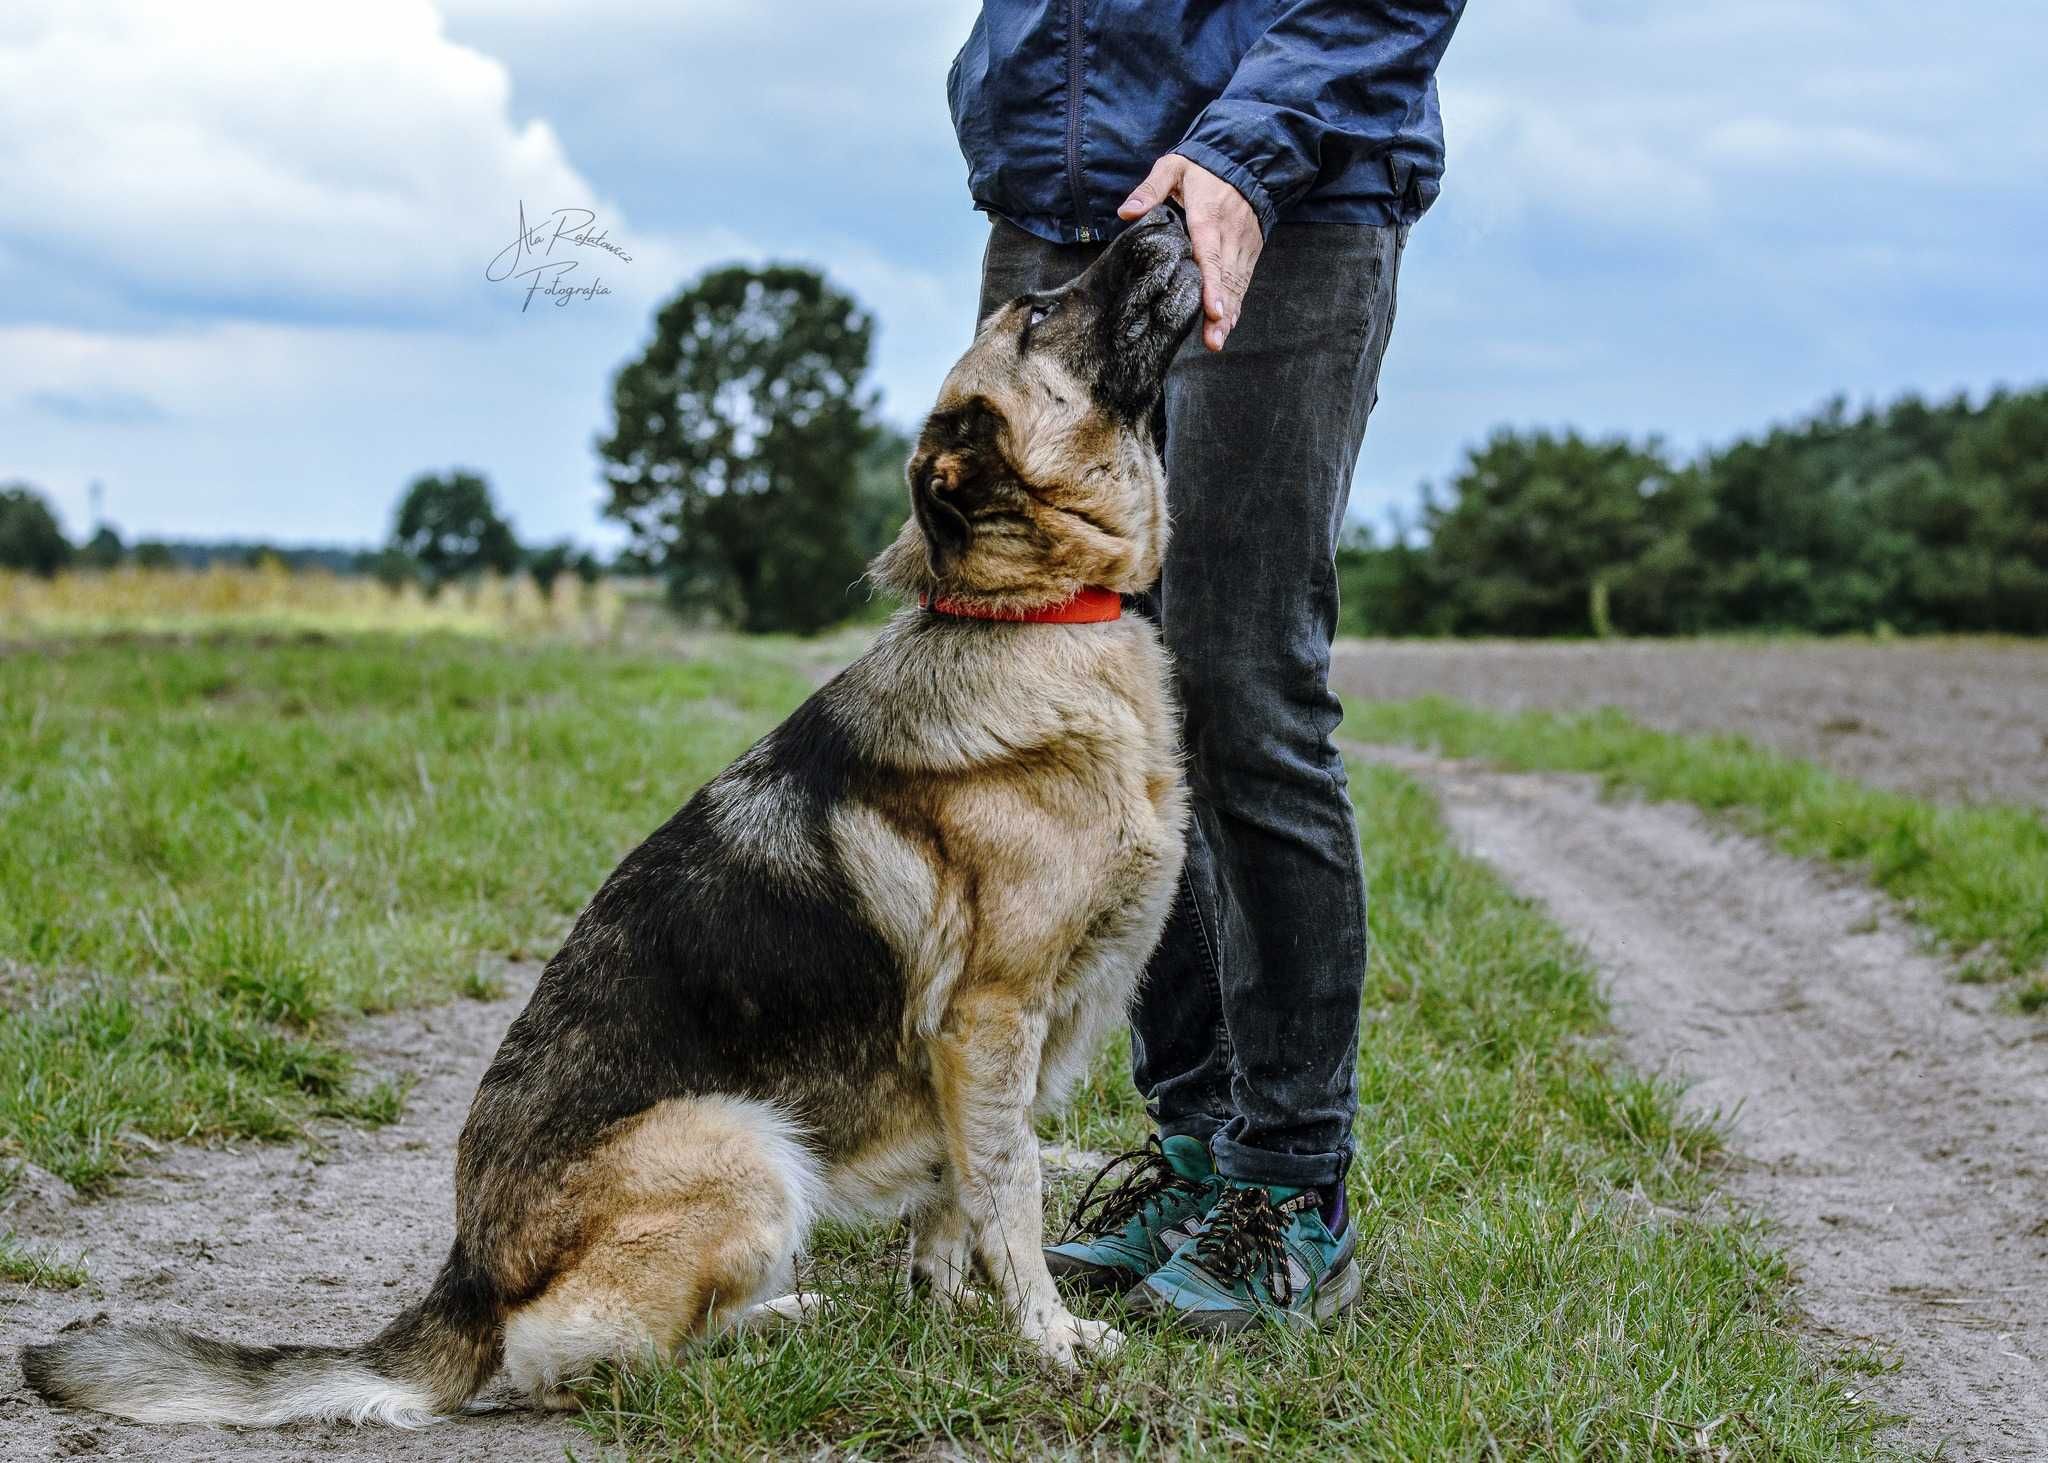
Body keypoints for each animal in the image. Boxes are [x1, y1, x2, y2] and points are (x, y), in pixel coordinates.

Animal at [24, 207, 1204, 1426]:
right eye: (1037, 310)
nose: (1165, 210)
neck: (1034, 616)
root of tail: (469, 1271)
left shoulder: (973, 1057)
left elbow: (953, 1202)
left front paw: (951, 1312)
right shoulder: (988, 1018)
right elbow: (1010, 1192)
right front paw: (1045, 1338)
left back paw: (780, 1316)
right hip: (741, 1139)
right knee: (572, 1357)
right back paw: (745, 1349)